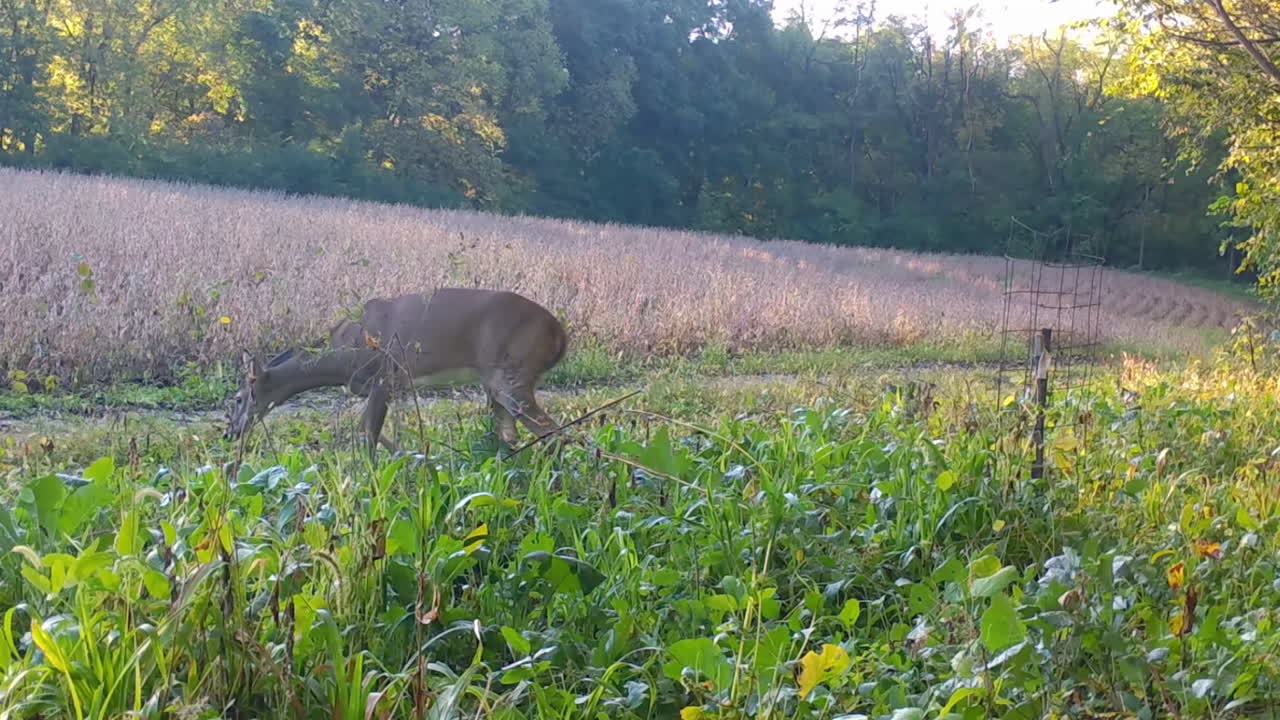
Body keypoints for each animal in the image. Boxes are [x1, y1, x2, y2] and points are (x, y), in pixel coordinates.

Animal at [224, 288, 569, 459]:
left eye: (238, 398)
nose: (230, 433)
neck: (340, 358)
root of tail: (559, 335)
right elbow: (372, 433)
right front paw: (413, 459)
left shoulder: (384, 377)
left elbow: (368, 436)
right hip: (498, 382)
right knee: (512, 436)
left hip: (512, 376)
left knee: (554, 434)